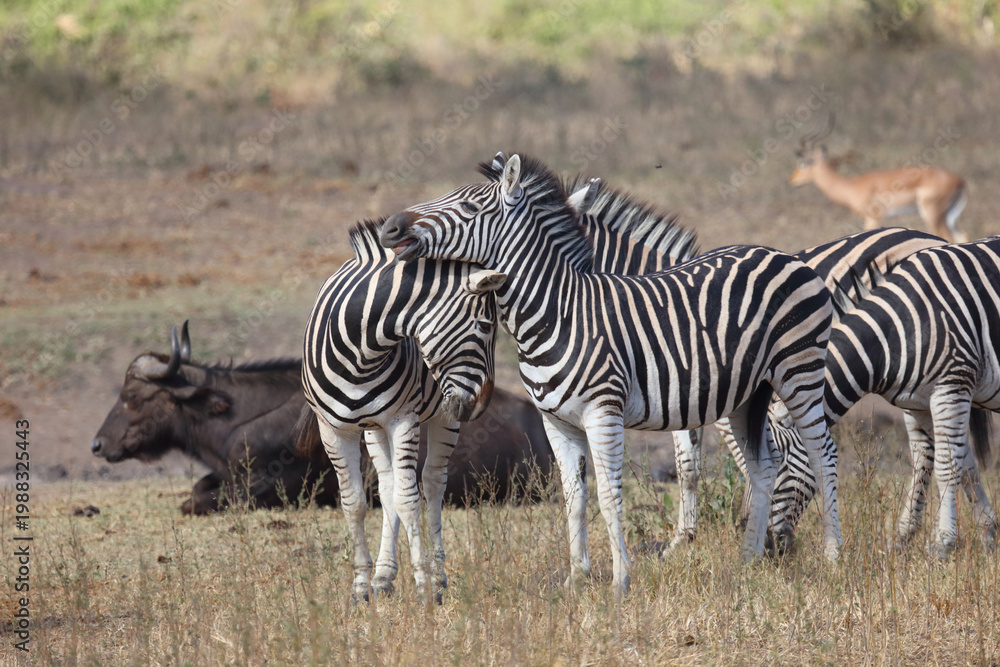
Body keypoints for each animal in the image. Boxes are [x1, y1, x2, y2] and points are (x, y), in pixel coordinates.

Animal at [302, 218, 505, 602]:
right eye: (486, 327)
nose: (482, 404)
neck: (360, 350)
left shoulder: (404, 421)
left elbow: (410, 500)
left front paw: (424, 586)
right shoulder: (333, 429)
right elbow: (355, 503)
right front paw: (361, 585)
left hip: (442, 417)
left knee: (432, 482)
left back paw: (438, 577)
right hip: (373, 428)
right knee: (387, 486)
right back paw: (383, 576)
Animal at [380, 152, 843, 597]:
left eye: (470, 206)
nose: (389, 226)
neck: (555, 315)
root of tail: (781, 254)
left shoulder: (604, 414)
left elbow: (608, 495)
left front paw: (621, 581)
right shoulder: (557, 423)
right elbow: (575, 498)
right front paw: (576, 580)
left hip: (798, 370)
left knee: (822, 454)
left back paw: (833, 557)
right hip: (747, 393)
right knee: (765, 466)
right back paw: (748, 563)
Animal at [732, 236, 1000, 557]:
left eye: (779, 462)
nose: (747, 530)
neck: (894, 334)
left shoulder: (952, 387)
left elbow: (947, 467)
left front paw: (942, 543)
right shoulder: (922, 403)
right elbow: (956, 463)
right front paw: (986, 532)